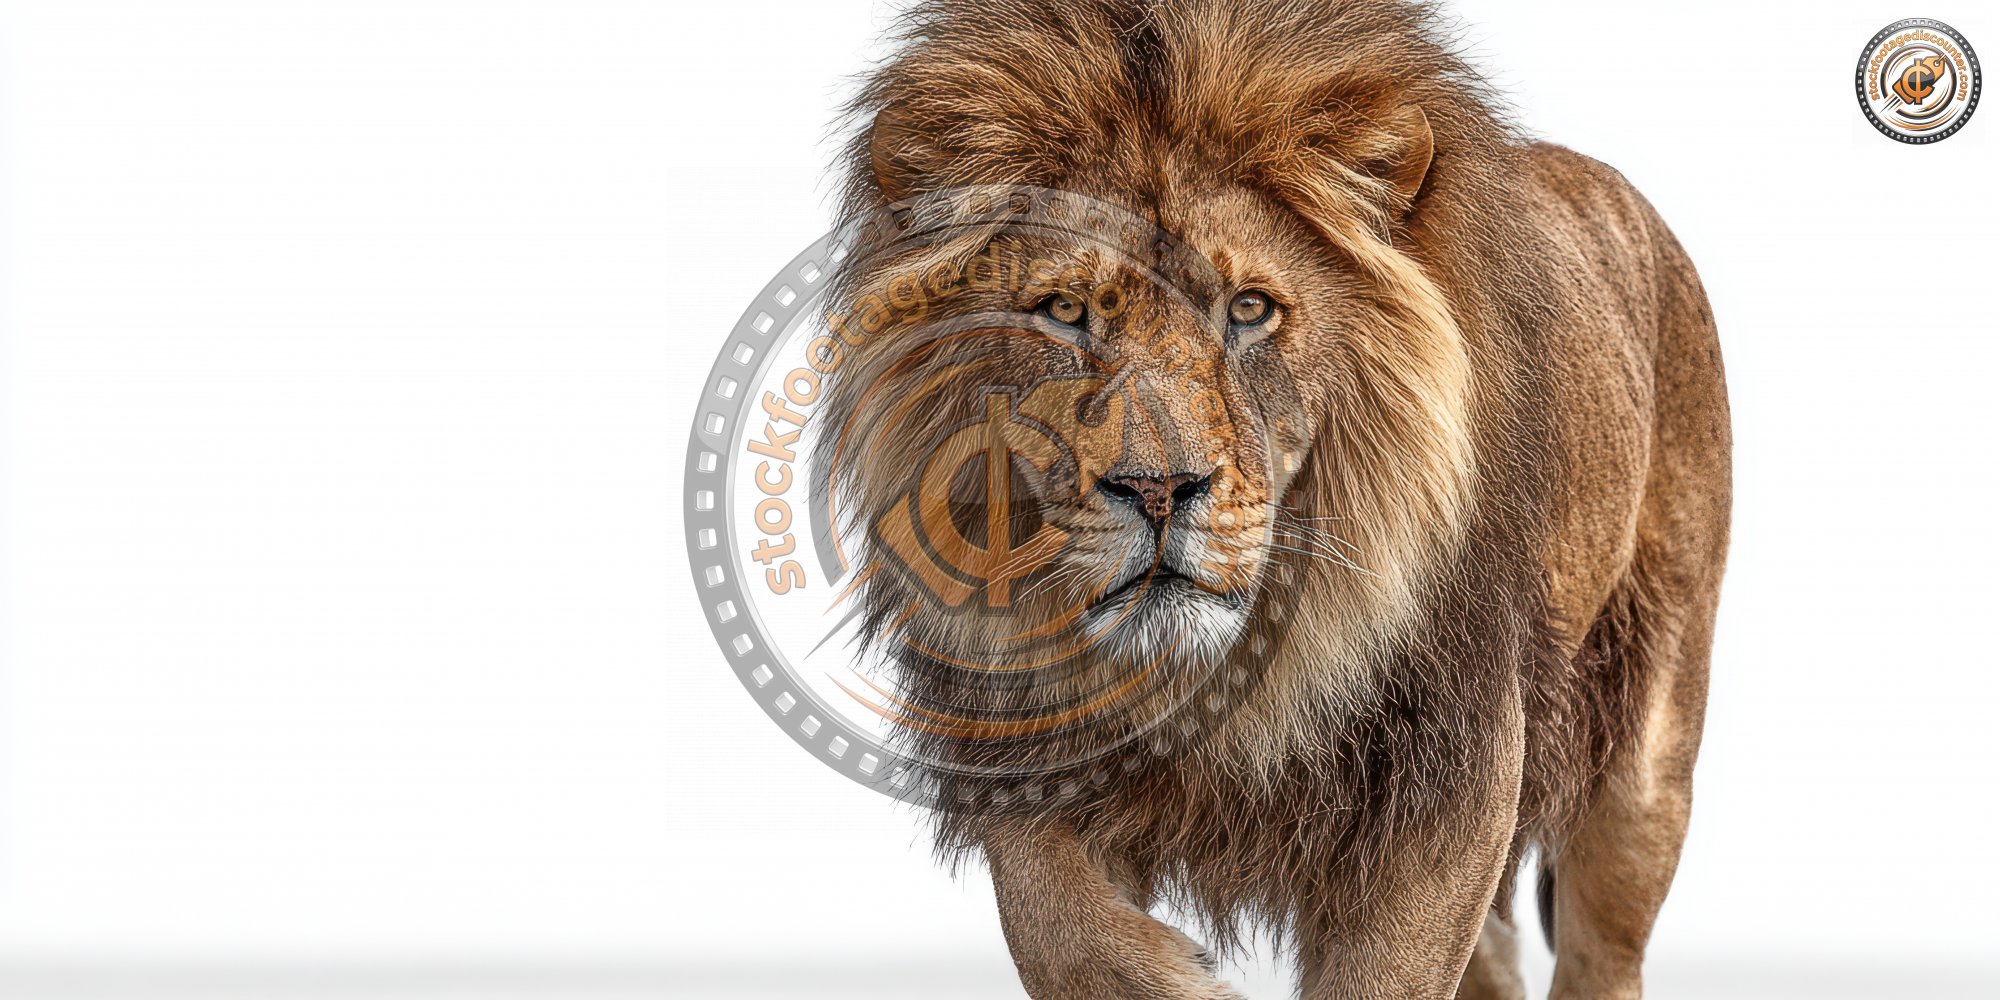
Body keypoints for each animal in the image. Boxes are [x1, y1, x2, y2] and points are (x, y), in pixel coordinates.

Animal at [813, 2, 1730, 998]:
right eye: (1064, 311)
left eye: (1249, 310)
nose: (1157, 489)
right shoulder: (1023, 740)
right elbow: (1061, 931)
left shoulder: (1457, 757)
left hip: (1649, 750)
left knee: (1607, 942)